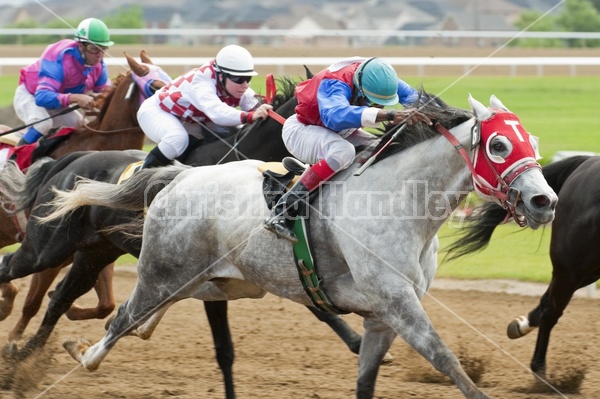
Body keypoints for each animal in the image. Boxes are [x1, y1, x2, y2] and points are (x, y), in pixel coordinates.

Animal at [0, 50, 171, 344]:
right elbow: (32, 303)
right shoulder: (56, 253)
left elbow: (105, 304)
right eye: (155, 86)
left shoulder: (96, 246)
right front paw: (14, 340)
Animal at [442, 155, 600, 378]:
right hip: (573, 267)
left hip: (586, 269)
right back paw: (540, 370)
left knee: (546, 304)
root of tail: (587, 162)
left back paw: (521, 326)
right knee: (550, 311)